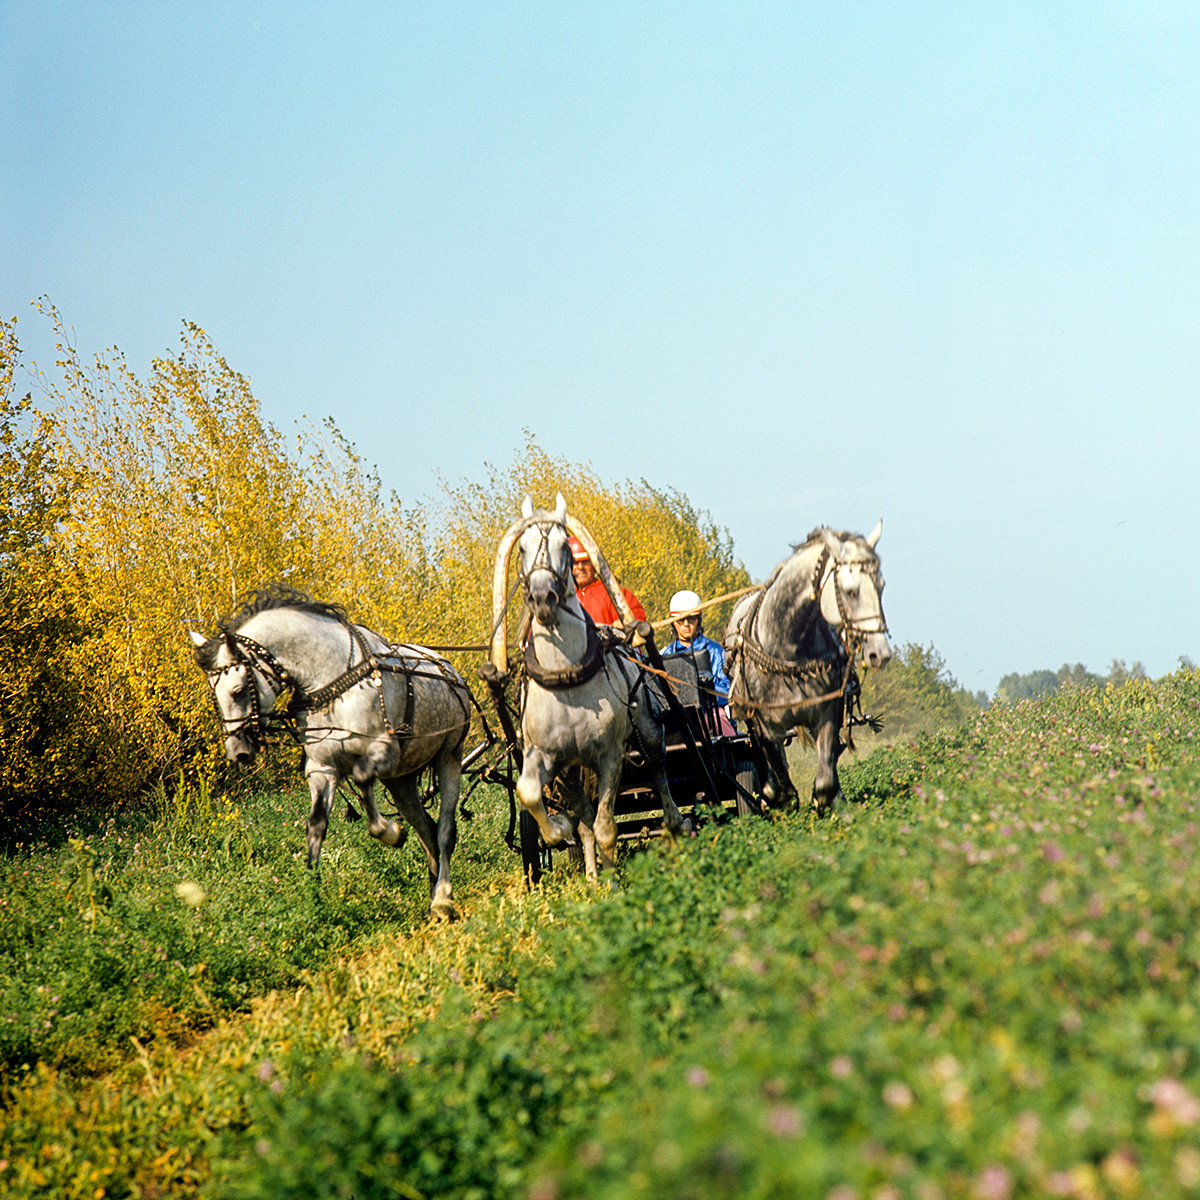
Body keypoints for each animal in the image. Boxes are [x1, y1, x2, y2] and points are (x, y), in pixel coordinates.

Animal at [187, 588, 468, 916]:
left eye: (238, 690)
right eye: (215, 697)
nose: (237, 752)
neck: (333, 682)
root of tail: (449, 669)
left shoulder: (384, 751)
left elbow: (362, 777)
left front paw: (389, 832)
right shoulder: (322, 768)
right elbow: (316, 825)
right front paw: (313, 896)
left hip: (449, 758)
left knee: (445, 830)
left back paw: (442, 897)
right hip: (401, 780)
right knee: (426, 828)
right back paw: (433, 889)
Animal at [506, 492, 691, 878]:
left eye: (564, 545)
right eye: (522, 548)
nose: (542, 598)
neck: (567, 680)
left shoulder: (609, 755)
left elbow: (607, 827)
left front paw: (614, 882)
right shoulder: (548, 759)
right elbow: (531, 793)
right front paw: (560, 829)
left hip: (648, 731)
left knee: (659, 769)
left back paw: (675, 824)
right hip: (572, 772)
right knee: (584, 817)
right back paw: (591, 871)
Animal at [720, 525, 892, 816]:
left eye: (881, 587)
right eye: (851, 591)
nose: (880, 653)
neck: (788, 649)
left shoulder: (826, 714)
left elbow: (825, 782)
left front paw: (827, 804)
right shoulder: (767, 727)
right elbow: (784, 788)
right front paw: (774, 801)